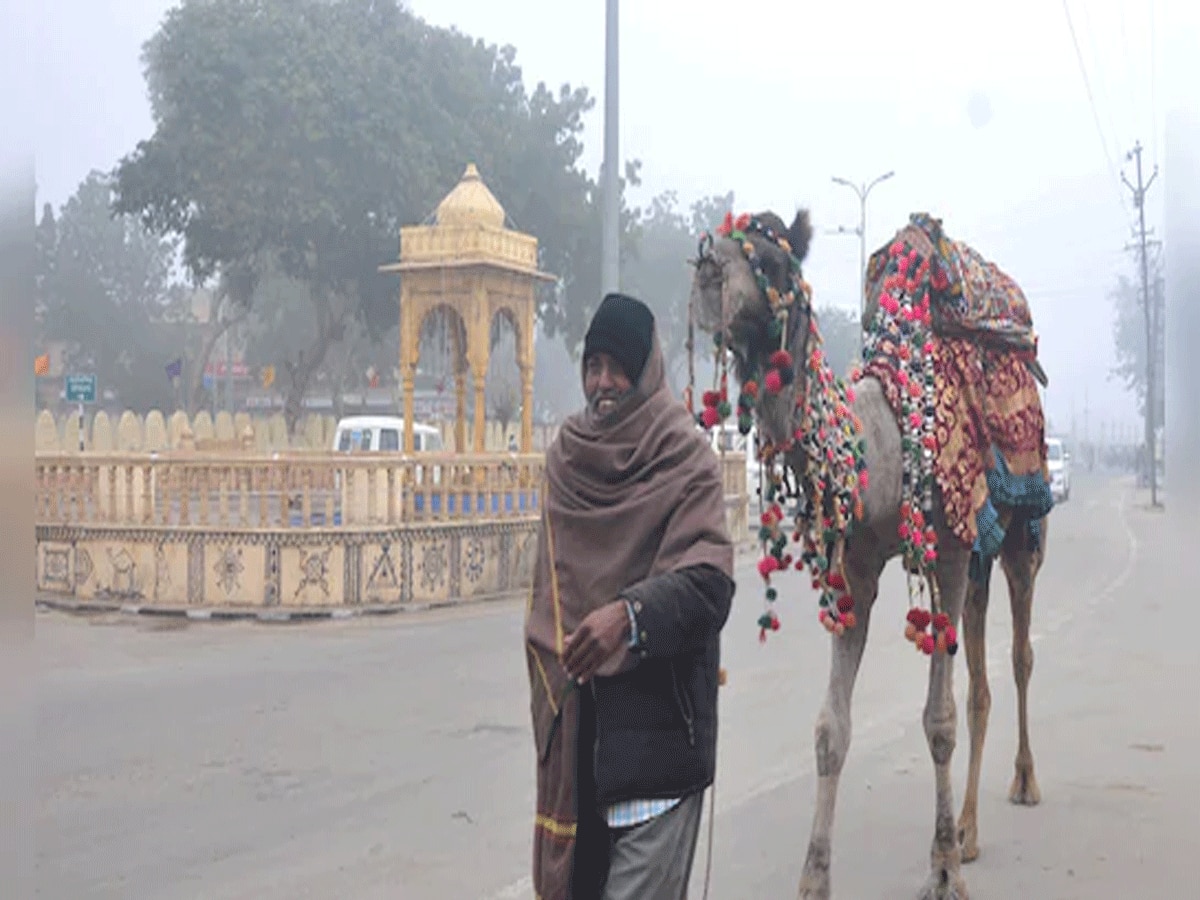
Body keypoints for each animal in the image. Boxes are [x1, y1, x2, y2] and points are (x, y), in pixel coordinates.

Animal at [691, 207, 1056, 897]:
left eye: (770, 261)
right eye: (719, 240)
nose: (704, 272)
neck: (881, 443)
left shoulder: (948, 552)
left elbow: (938, 720)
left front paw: (941, 870)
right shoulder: (856, 569)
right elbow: (830, 729)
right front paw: (813, 879)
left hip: (1022, 528)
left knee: (1020, 655)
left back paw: (1022, 784)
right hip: (981, 553)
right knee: (980, 675)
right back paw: (968, 829)